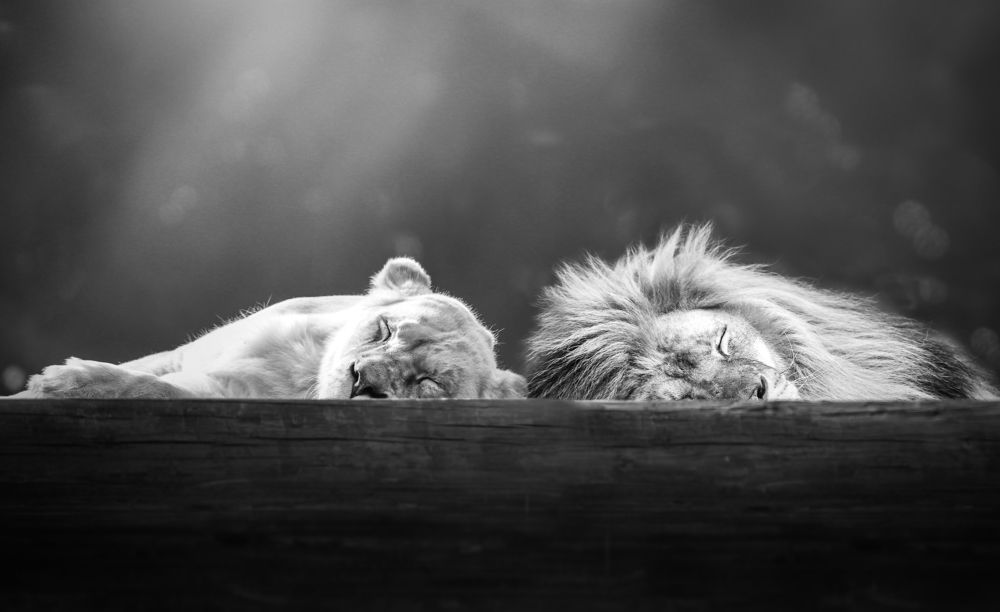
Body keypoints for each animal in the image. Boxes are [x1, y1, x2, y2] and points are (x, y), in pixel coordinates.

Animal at [19, 257, 526, 400]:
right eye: (385, 330)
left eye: (430, 384)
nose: (361, 381)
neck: (302, 371)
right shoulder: (184, 355)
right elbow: (146, 371)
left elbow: (154, 389)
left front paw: (65, 381)